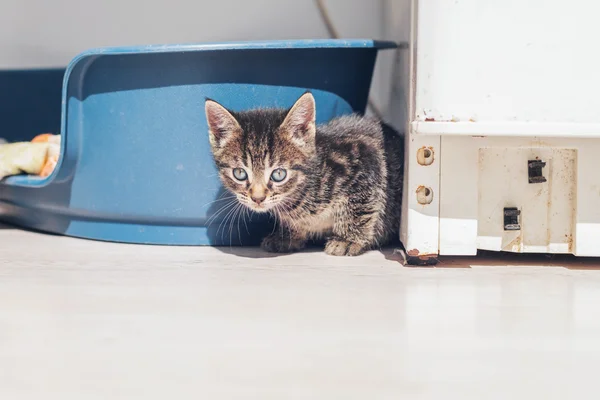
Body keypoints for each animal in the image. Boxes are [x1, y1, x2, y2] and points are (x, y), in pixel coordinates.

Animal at [204, 92, 406, 256]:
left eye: (278, 174)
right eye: (240, 173)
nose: (258, 198)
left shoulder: (365, 158)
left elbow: (360, 207)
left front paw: (347, 239)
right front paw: (287, 236)